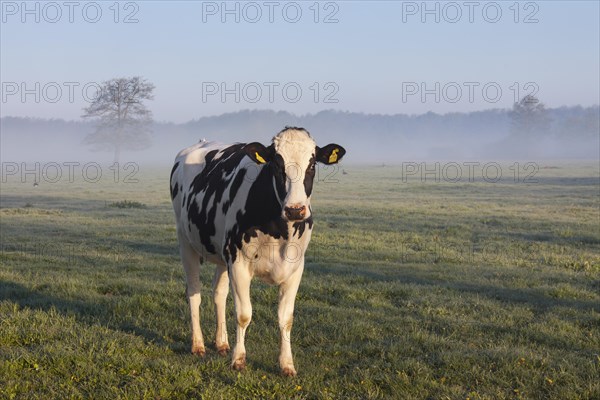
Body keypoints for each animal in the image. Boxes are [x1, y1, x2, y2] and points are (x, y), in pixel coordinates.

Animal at [171, 127, 344, 376]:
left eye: (312, 165)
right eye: (277, 165)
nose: (295, 210)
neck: (280, 230)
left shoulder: (295, 268)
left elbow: (286, 318)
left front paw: (287, 364)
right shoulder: (239, 263)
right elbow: (244, 314)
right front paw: (239, 359)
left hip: (222, 255)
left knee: (218, 293)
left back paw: (221, 342)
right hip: (186, 242)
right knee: (194, 293)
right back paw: (198, 344)